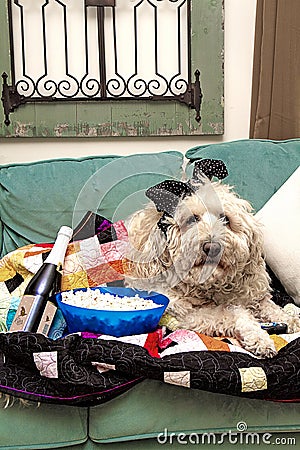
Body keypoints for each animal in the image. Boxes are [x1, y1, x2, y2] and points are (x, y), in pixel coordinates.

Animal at [125, 160, 300, 356]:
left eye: (225, 219)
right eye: (192, 220)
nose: (212, 247)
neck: (212, 285)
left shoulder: (253, 294)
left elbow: (270, 306)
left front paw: (290, 318)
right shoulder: (191, 315)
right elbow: (233, 314)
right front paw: (259, 337)